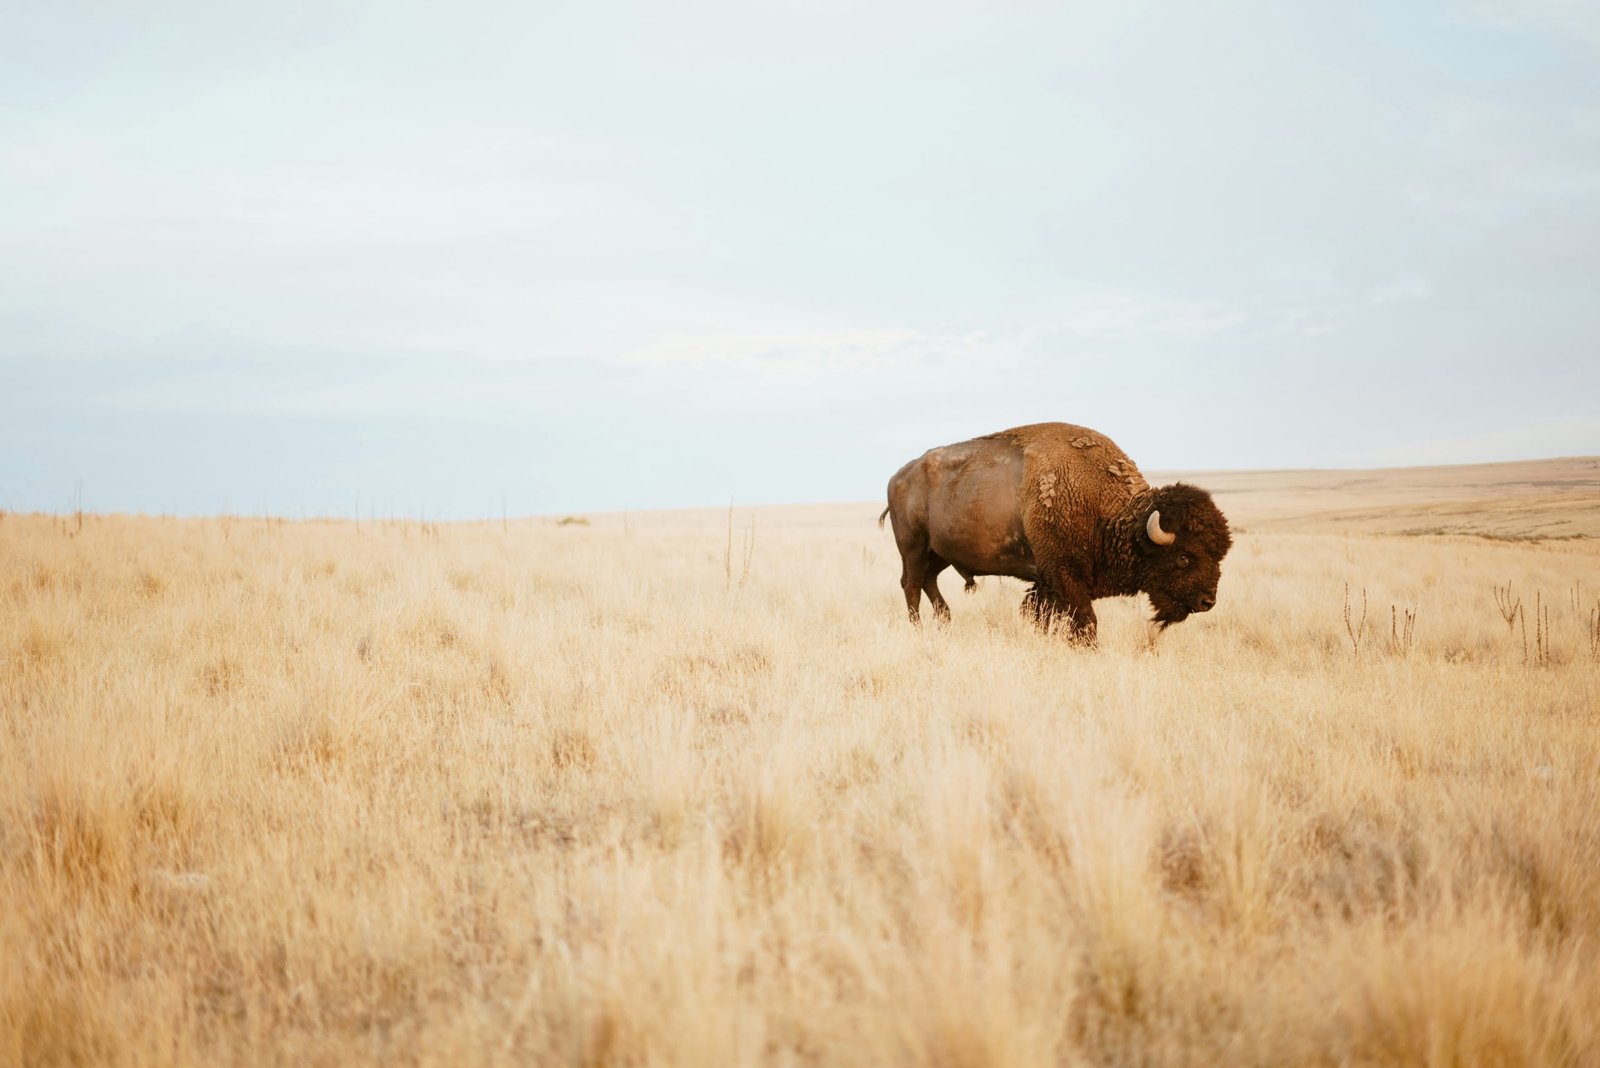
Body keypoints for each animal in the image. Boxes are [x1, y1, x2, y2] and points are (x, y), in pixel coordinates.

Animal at [883, 422, 1228, 642]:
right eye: (1183, 557)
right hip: (913, 547)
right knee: (911, 585)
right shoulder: (1064, 575)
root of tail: (897, 477)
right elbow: (1085, 620)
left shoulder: (1047, 582)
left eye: (1219, 556)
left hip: (940, 552)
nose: (1207, 601)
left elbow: (1042, 615)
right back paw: (919, 629)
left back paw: (945, 621)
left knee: (928, 581)